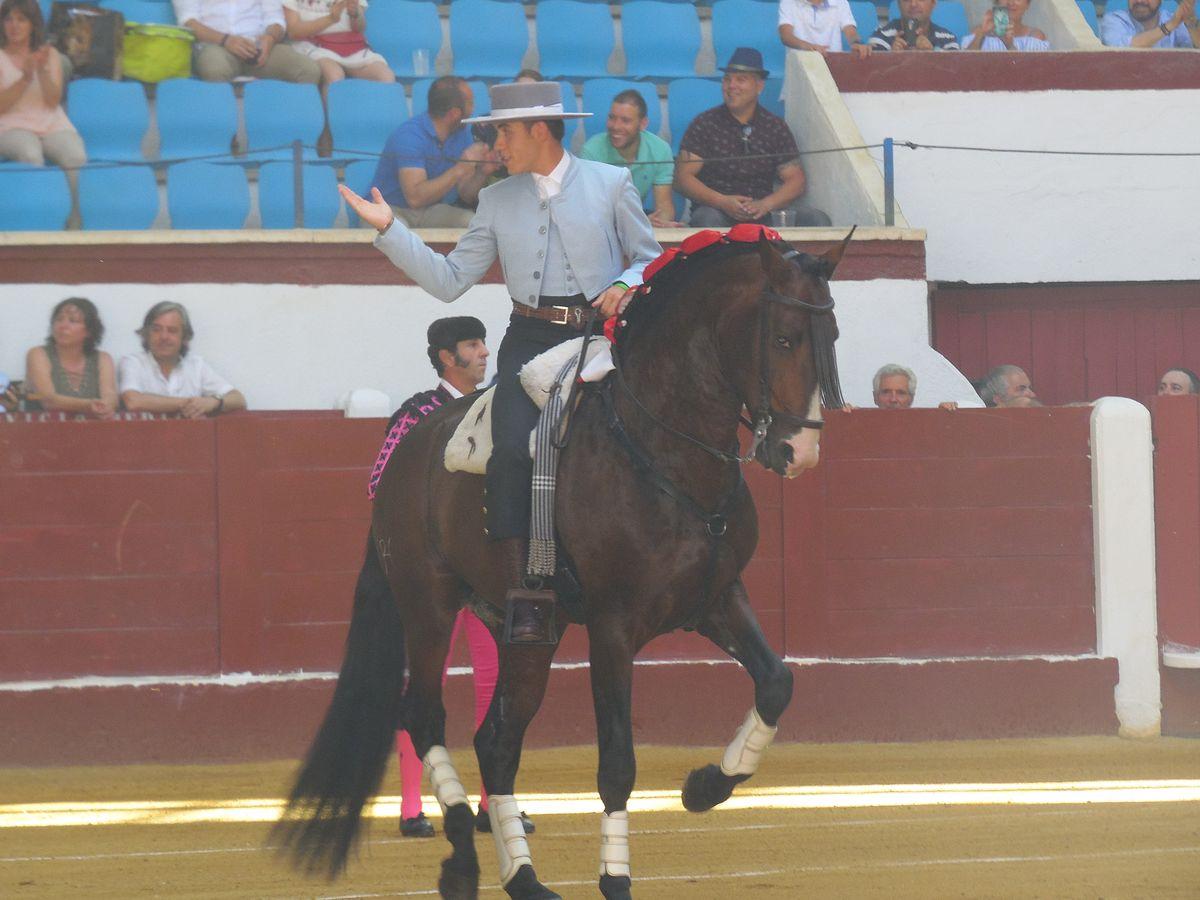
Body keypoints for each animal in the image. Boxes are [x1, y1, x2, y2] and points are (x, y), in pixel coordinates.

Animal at [274, 230, 849, 900]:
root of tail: (399, 457)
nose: (799, 451)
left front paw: (704, 786)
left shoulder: (717, 598)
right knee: (424, 715)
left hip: (527, 631)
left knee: (497, 741)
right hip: (427, 604)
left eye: (831, 337)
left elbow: (777, 682)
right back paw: (461, 860)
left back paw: (522, 876)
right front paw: (616, 879)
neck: (666, 451)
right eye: (782, 338)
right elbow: (617, 762)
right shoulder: (612, 626)